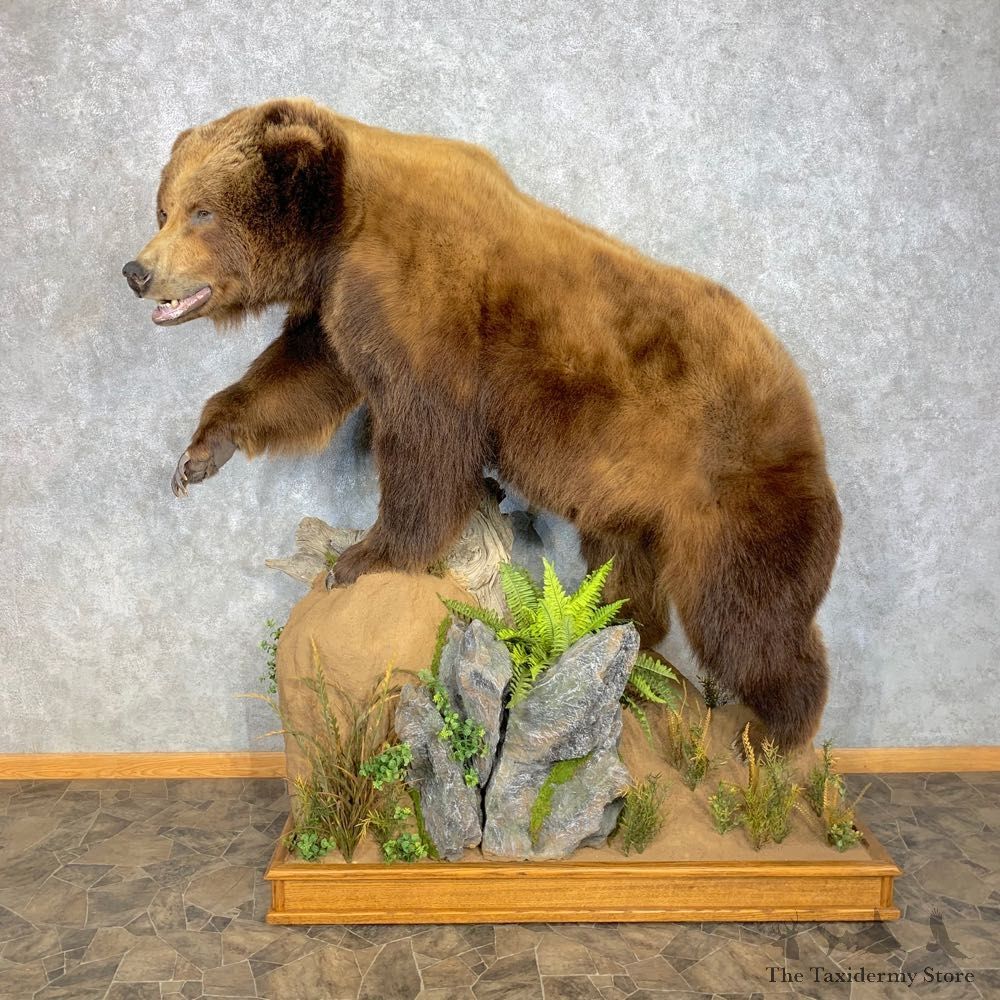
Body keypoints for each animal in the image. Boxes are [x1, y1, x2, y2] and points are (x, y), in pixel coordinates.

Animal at [123, 98, 842, 751]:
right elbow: (298, 379)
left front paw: (362, 557)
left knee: (748, 616)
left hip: (733, 490)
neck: (343, 231)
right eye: (164, 208)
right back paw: (625, 642)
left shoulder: (423, 307)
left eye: (203, 211)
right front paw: (198, 456)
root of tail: (801, 402)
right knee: (628, 575)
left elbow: (425, 443)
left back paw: (776, 734)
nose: (138, 270)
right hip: (638, 500)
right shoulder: (339, 312)